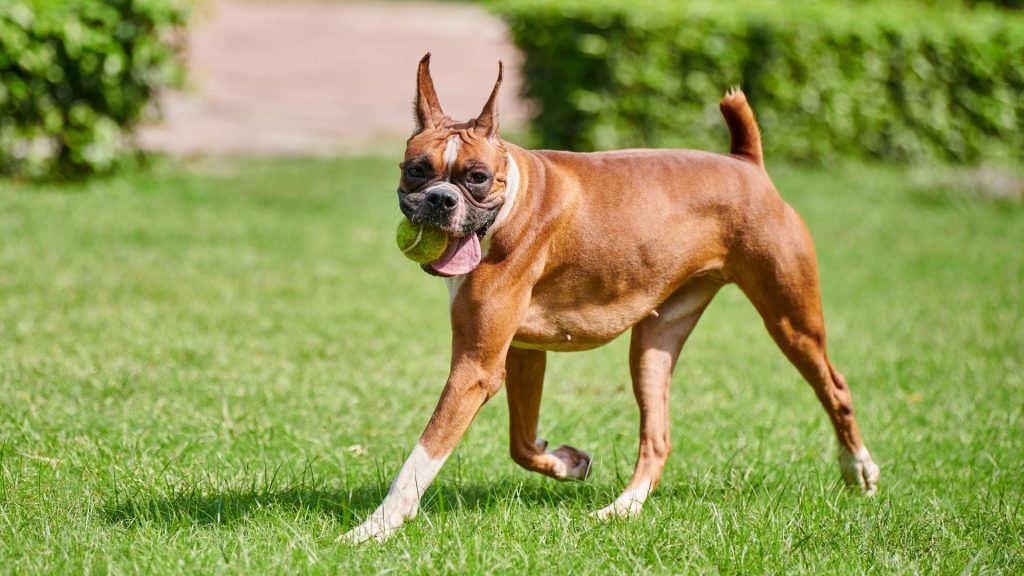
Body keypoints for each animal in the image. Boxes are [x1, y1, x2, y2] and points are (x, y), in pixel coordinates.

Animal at [344, 52, 880, 537]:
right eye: (417, 170)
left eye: (475, 176)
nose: (440, 199)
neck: (511, 198)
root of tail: (747, 164)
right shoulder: (521, 352)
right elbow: (522, 442)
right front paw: (567, 462)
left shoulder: (475, 368)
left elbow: (424, 455)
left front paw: (374, 528)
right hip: (652, 347)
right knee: (658, 438)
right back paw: (623, 508)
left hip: (791, 323)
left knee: (835, 388)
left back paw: (858, 469)